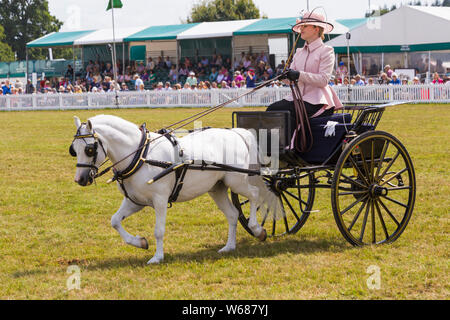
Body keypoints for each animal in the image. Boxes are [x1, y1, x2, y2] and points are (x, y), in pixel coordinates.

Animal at [72, 114, 272, 264]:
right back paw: (229, 246)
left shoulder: (160, 199)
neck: (141, 156)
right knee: (232, 214)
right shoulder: (135, 201)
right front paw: (140, 242)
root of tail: (235, 133)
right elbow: (115, 221)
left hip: (236, 180)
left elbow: (158, 230)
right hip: (217, 187)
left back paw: (257, 229)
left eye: (89, 150)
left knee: (255, 194)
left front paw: (157, 257)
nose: (80, 179)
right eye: (73, 149)